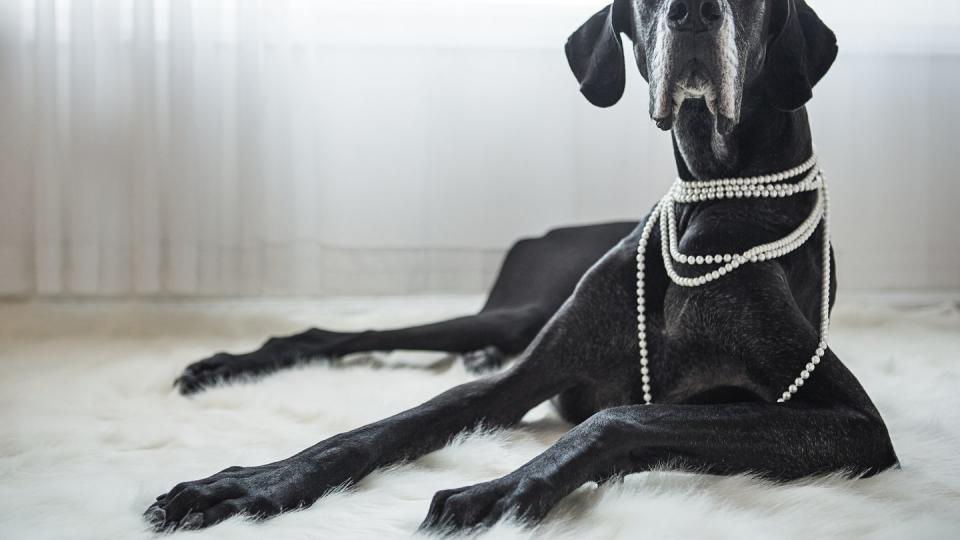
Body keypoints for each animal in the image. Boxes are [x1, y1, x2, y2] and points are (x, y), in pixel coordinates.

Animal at [146, 0, 896, 532]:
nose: (693, 12)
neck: (713, 205)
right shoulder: (525, 376)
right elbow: (373, 431)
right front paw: (247, 484)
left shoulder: (854, 424)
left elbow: (622, 418)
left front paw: (499, 489)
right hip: (519, 313)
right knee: (346, 335)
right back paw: (225, 364)